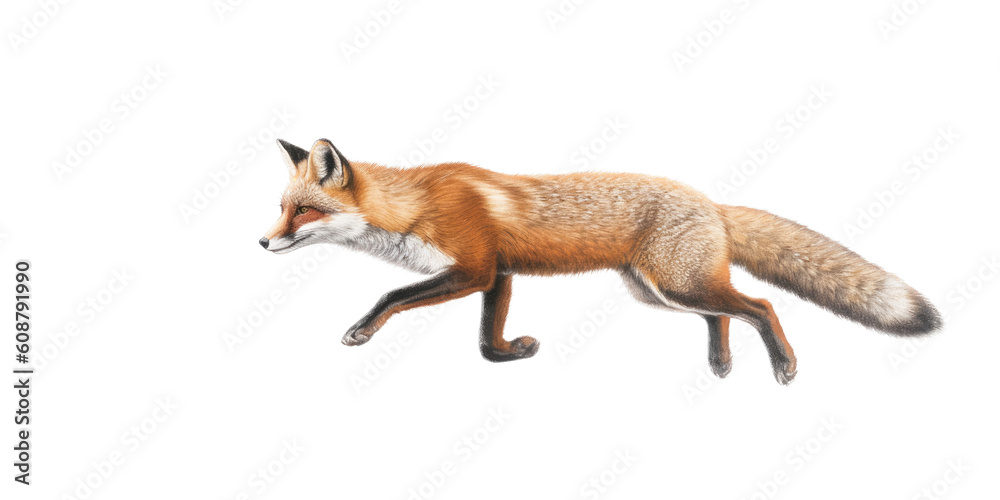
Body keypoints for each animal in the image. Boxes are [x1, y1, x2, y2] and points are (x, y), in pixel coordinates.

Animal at [259, 138, 941, 385]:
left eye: (304, 212)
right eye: (281, 208)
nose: (262, 244)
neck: (414, 208)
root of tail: (712, 202)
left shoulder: (474, 268)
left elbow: (392, 297)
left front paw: (361, 330)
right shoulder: (499, 274)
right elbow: (486, 342)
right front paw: (515, 353)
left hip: (679, 284)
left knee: (761, 304)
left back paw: (784, 365)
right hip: (660, 291)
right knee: (725, 314)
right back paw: (721, 365)